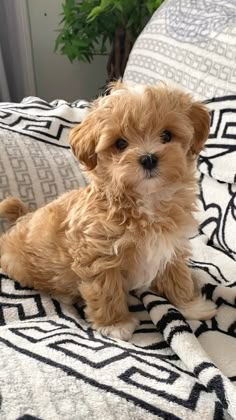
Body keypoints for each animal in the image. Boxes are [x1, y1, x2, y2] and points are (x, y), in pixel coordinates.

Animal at [0, 83, 216, 342]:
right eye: (120, 144)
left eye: (167, 136)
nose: (148, 158)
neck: (146, 203)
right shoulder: (98, 256)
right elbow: (106, 291)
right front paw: (115, 324)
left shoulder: (170, 246)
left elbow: (177, 277)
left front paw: (191, 306)